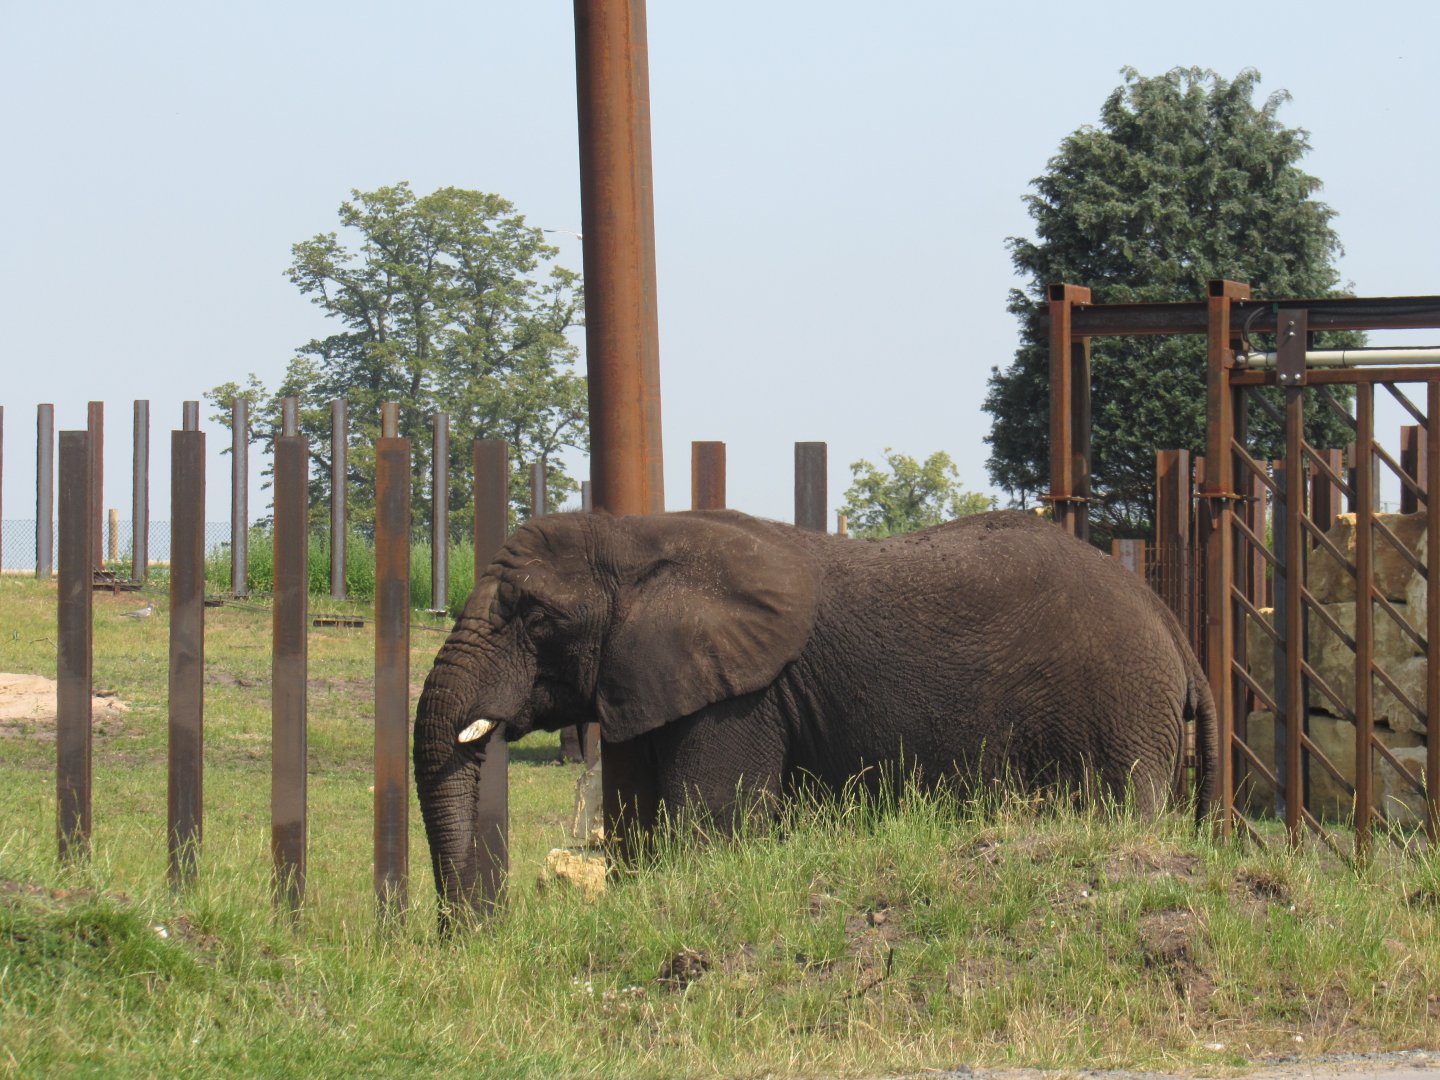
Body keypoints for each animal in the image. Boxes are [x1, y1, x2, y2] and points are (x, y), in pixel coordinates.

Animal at [415, 508, 1217, 913]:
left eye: (535, 616)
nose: (470, 933)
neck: (641, 535)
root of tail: (1169, 621)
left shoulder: (743, 698)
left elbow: (712, 826)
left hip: (1116, 710)